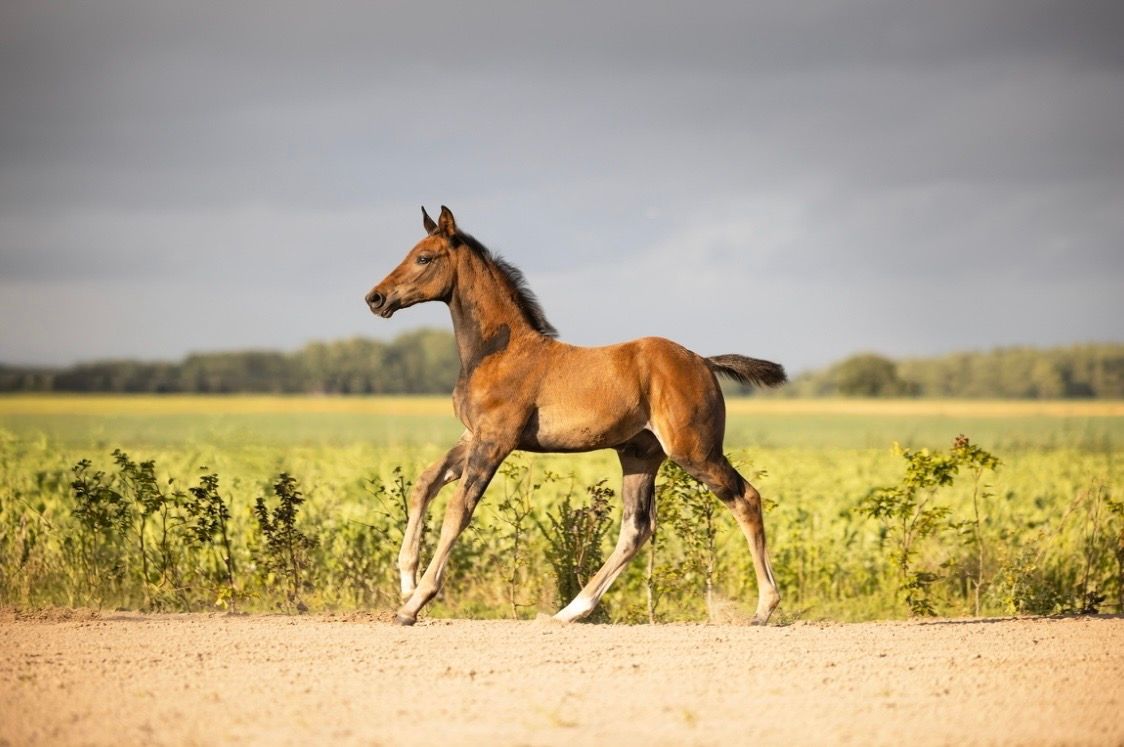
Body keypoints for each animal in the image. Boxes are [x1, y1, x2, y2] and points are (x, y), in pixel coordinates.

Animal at [365, 206, 787, 625]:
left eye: (424, 258)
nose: (375, 297)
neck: (499, 351)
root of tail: (703, 361)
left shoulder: (496, 439)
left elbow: (458, 509)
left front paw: (414, 604)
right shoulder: (473, 435)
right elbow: (425, 483)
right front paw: (406, 583)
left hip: (694, 451)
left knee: (745, 499)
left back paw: (763, 609)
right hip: (640, 454)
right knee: (636, 527)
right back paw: (569, 611)